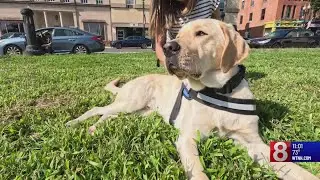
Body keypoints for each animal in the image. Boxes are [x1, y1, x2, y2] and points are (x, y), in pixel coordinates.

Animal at [65, 19, 320, 179]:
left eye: (201, 33)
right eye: (177, 36)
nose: (168, 47)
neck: (220, 91)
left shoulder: (252, 142)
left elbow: (289, 166)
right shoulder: (188, 138)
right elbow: (197, 171)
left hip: (139, 111)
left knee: (109, 115)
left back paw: (94, 128)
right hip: (131, 102)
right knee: (98, 109)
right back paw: (77, 124)